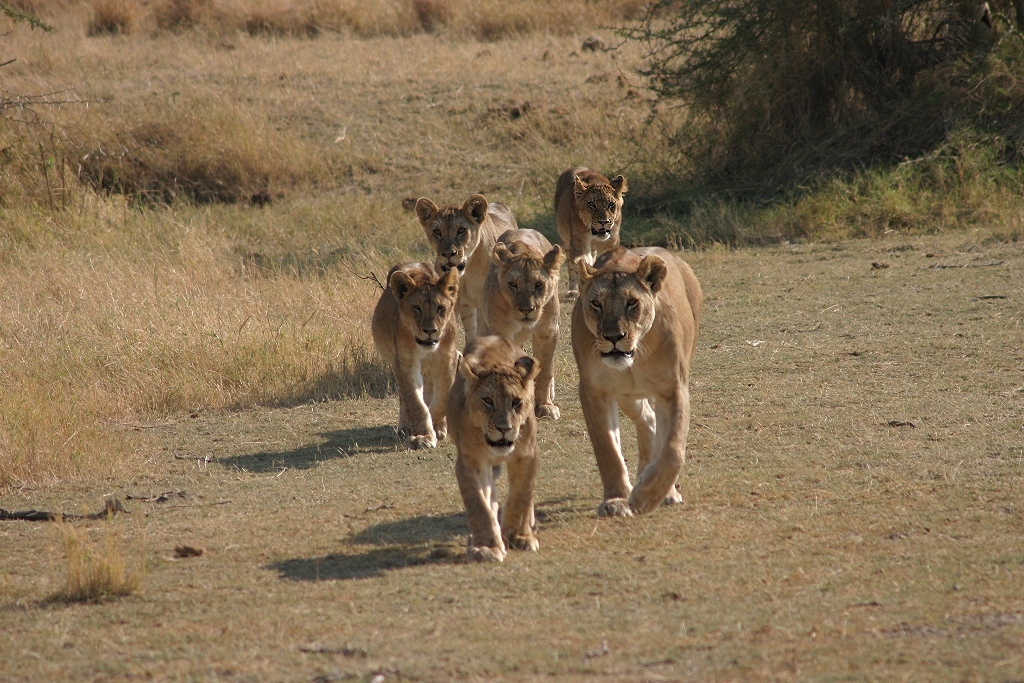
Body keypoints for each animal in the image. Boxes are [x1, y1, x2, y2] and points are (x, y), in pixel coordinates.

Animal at [371, 262, 460, 450]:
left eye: (440, 308)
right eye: (416, 307)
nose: (430, 331)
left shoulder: (447, 357)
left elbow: (443, 396)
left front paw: (436, 426)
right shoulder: (405, 362)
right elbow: (415, 402)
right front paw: (423, 436)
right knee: (404, 397)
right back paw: (405, 427)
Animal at [447, 335, 541, 562]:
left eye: (516, 402)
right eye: (488, 401)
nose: (504, 429)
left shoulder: (527, 455)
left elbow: (521, 494)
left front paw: (516, 534)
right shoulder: (470, 462)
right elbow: (478, 505)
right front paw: (486, 547)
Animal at [480, 229, 566, 420]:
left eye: (539, 284)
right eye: (513, 284)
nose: (527, 309)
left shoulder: (547, 331)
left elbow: (545, 370)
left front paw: (545, 406)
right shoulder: (499, 331)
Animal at [554, 167, 628, 298]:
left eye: (611, 204)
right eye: (592, 204)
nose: (604, 222)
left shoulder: (611, 242)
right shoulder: (578, 242)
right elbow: (582, 262)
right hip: (565, 240)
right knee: (571, 266)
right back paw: (573, 290)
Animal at [570, 246, 702, 517]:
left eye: (632, 302)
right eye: (596, 303)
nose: (614, 337)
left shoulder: (673, 389)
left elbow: (673, 450)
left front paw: (646, 497)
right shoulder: (594, 391)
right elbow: (607, 450)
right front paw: (616, 500)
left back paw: (663, 490)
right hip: (626, 395)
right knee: (647, 418)